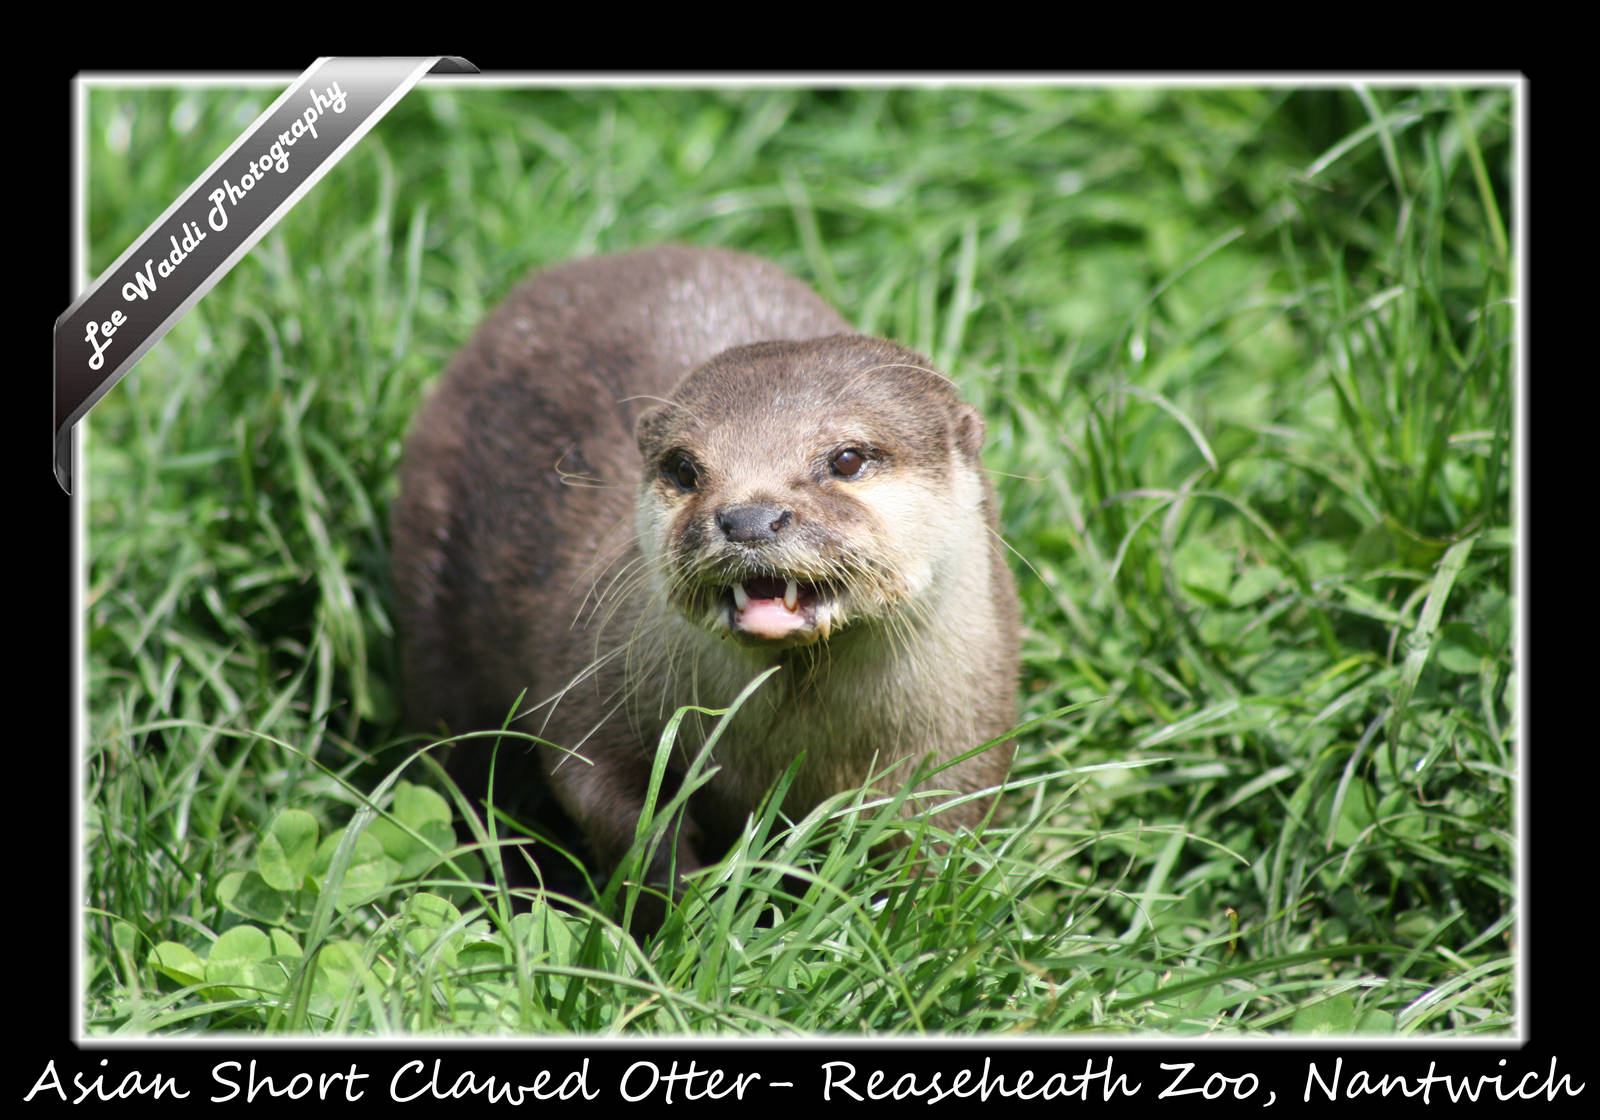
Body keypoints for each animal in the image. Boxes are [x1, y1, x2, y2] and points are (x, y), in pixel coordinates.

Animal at [390, 245, 1018, 914]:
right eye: (685, 468)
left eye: (847, 458)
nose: (747, 518)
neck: (795, 750)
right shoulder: (594, 698)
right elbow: (616, 808)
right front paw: (686, 907)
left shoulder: (967, 738)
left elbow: (939, 838)